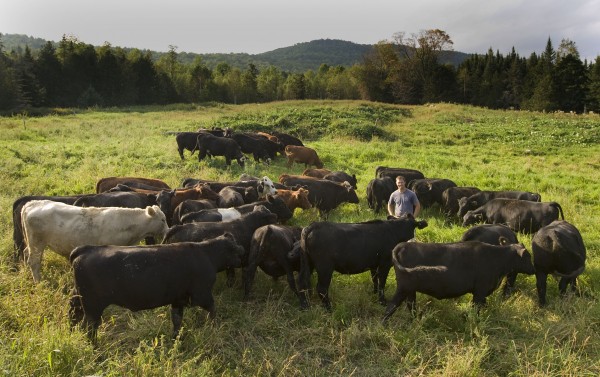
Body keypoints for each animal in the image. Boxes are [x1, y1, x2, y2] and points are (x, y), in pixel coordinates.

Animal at [71, 234, 246, 340]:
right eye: (234, 247)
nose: (243, 250)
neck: (207, 254)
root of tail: (88, 248)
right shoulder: (202, 294)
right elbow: (213, 310)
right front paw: (214, 327)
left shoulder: (178, 299)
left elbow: (177, 320)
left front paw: (176, 339)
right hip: (93, 308)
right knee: (89, 328)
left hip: (80, 300)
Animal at [298, 214, 428, 308]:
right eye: (413, 225)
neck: (394, 231)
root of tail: (313, 225)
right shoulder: (384, 264)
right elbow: (382, 282)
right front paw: (382, 301)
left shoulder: (374, 264)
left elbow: (375, 280)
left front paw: (374, 294)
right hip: (325, 267)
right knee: (321, 288)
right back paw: (328, 307)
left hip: (308, 264)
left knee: (303, 283)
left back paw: (305, 305)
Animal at [380, 241, 536, 320]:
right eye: (528, 257)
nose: (534, 269)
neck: (498, 258)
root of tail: (402, 245)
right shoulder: (480, 291)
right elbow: (476, 308)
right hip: (403, 288)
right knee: (391, 307)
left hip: (410, 290)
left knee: (410, 305)